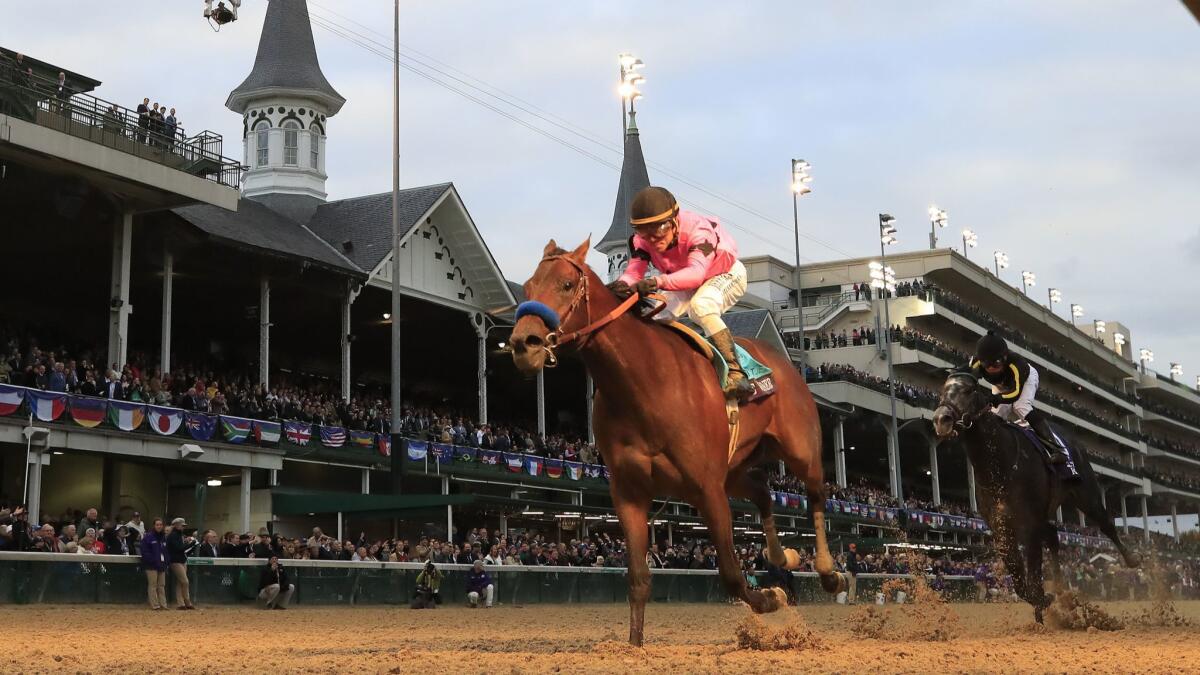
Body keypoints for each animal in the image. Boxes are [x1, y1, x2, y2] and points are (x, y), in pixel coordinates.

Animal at [508, 239, 844, 643]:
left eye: (566, 285)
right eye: (528, 287)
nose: (523, 344)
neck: (644, 384)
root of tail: (785, 364)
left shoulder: (707, 489)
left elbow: (732, 574)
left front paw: (770, 598)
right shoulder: (629, 493)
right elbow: (638, 579)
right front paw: (634, 644)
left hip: (800, 451)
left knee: (816, 497)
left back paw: (828, 572)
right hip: (734, 469)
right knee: (763, 490)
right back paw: (782, 556)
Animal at [931, 369, 1137, 619]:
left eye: (969, 390)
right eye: (943, 390)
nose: (941, 419)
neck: (998, 466)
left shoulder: (1029, 523)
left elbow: (1033, 572)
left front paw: (1042, 602)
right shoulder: (1001, 526)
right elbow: (1018, 577)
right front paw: (1043, 602)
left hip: (1086, 494)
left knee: (1106, 523)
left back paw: (1132, 559)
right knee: (1053, 536)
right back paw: (1060, 590)